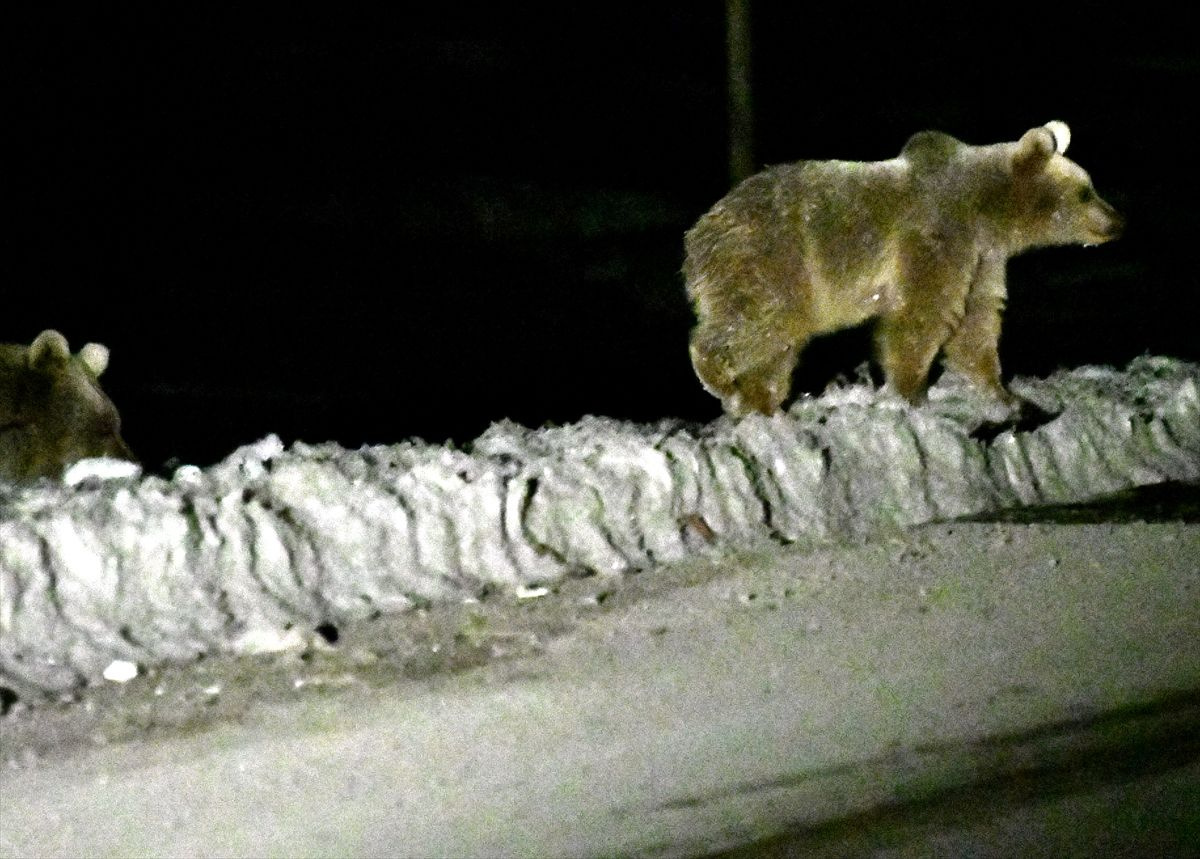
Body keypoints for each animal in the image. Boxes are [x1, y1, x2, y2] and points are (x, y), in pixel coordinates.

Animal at [686, 120, 1123, 415]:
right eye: (1086, 192)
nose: (1118, 221)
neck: (984, 213)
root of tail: (697, 234)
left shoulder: (981, 258)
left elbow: (975, 319)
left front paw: (1003, 392)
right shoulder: (936, 237)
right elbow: (922, 313)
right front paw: (912, 390)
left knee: (779, 345)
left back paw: (759, 401)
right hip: (771, 260)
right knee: (759, 320)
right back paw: (719, 377)